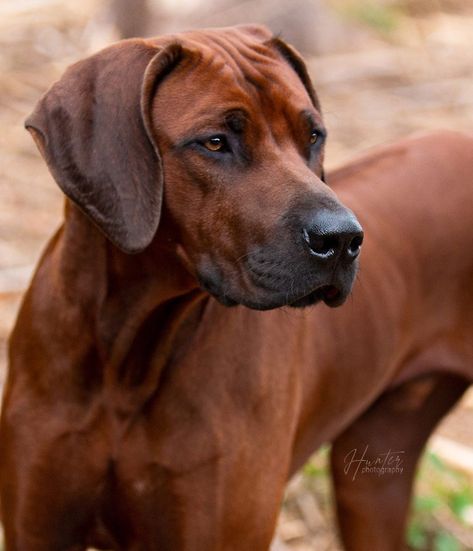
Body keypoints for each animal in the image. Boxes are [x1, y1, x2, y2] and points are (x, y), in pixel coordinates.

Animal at [0, 24, 472, 551]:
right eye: (215, 142)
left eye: (314, 135)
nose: (342, 239)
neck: (126, 361)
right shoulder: (34, 528)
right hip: (373, 480)